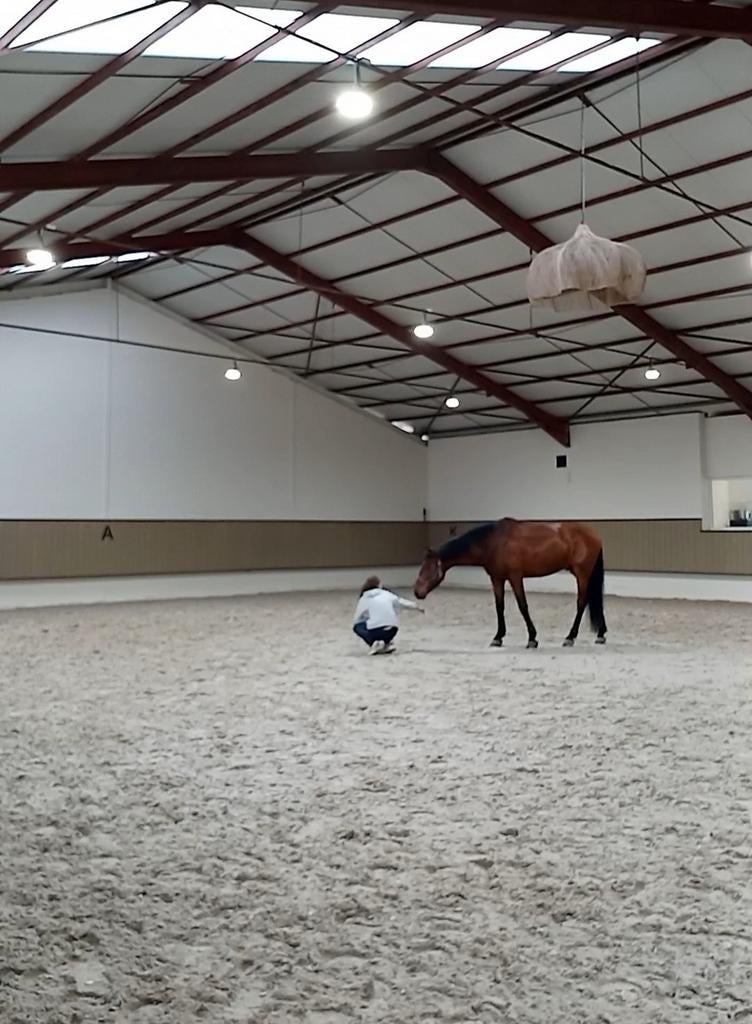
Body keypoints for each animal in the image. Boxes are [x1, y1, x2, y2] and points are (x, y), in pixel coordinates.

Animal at [413, 519, 606, 649]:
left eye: (427, 569)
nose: (417, 592)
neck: (494, 542)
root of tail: (594, 535)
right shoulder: (497, 579)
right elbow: (500, 606)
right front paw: (498, 637)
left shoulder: (515, 577)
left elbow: (523, 606)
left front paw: (532, 638)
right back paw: (601, 634)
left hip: (582, 574)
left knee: (581, 603)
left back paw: (570, 637)